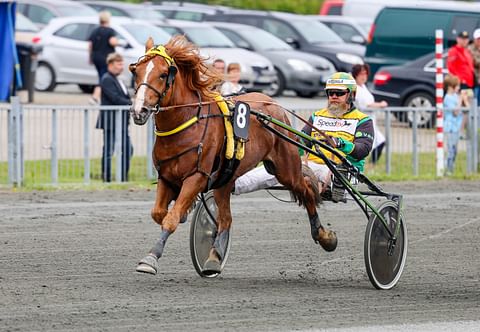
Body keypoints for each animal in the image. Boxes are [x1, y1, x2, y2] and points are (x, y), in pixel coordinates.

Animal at [129, 35, 336, 276]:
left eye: (163, 74)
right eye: (136, 71)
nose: (139, 111)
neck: (187, 123)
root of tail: (273, 102)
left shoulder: (196, 177)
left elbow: (170, 219)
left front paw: (151, 258)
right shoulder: (167, 178)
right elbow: (159, 213)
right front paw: (185, 216)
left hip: (286, 169)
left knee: (307, 191)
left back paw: (324, 236)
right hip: (225, 179)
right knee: (226, 219)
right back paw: (214, 256)